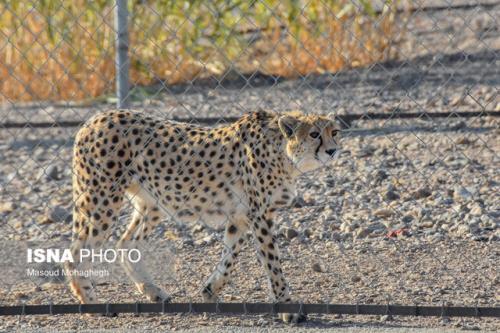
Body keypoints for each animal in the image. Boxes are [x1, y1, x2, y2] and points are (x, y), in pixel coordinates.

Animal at [65, 109, 340, 322]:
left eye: (334, 132)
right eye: (314, 134)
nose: (332, 151)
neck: (284, 152)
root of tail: (95, 118)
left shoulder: (241, 216)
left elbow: (229, 258)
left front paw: (210, 291)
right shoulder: (259, 215)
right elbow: (273, 264)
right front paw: (288, 307)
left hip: (152, 203)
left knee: (126, 243)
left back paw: (154, 292)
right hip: (101, 201)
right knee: (75, 253)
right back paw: (92, 303)